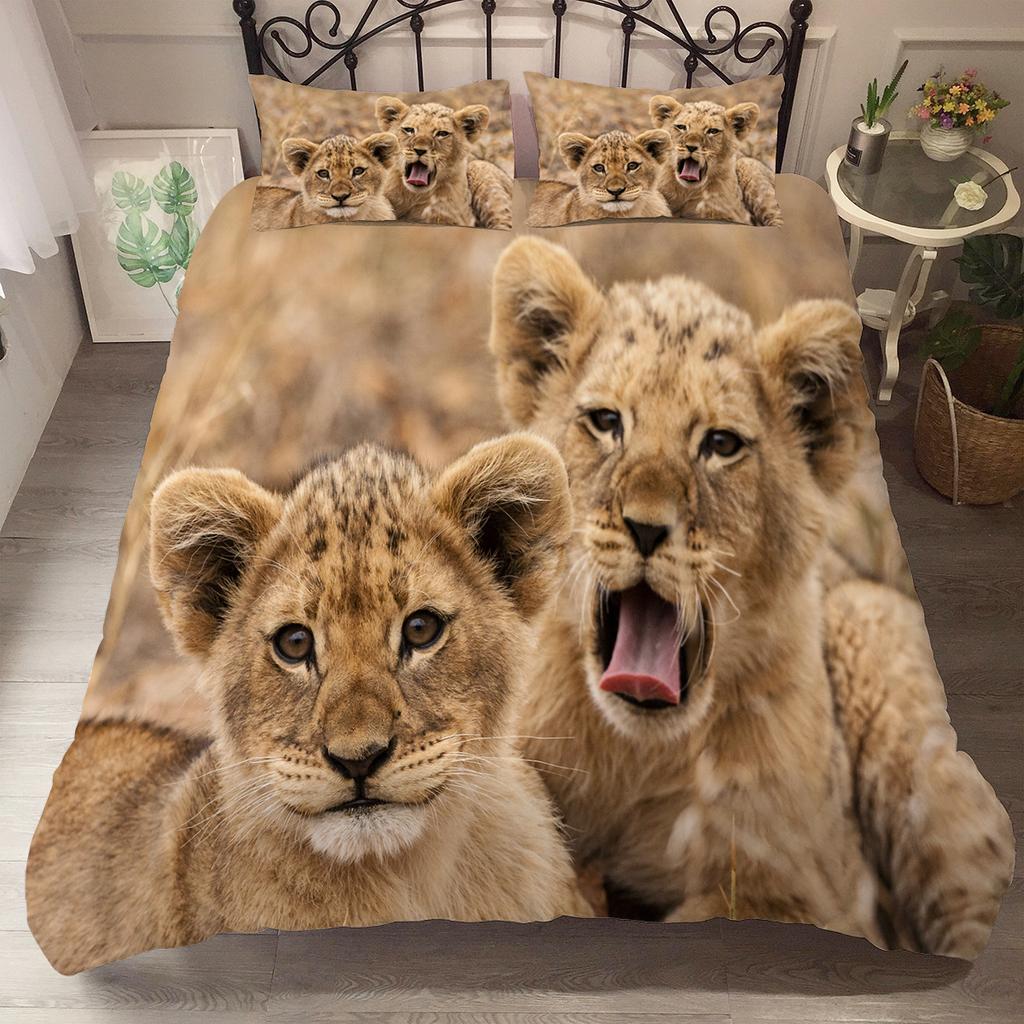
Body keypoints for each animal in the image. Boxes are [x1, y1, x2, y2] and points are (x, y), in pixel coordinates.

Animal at [375, 97, 512, 229]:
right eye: (409, 130)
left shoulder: (458, 218)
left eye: (442, 133)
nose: (419, 150)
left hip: (481, 169)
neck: (413, 196)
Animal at [487, 237, 1014, 958]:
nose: (647, 527)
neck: (635, 756)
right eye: (604, 422)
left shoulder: (816, 891)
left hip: (873, 633)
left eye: (721, 444)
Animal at [649, 96, 783, 226]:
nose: (691, 147)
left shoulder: (736, 215)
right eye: (681, 127)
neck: (686, 192)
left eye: (712, 131)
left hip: (749, 168)